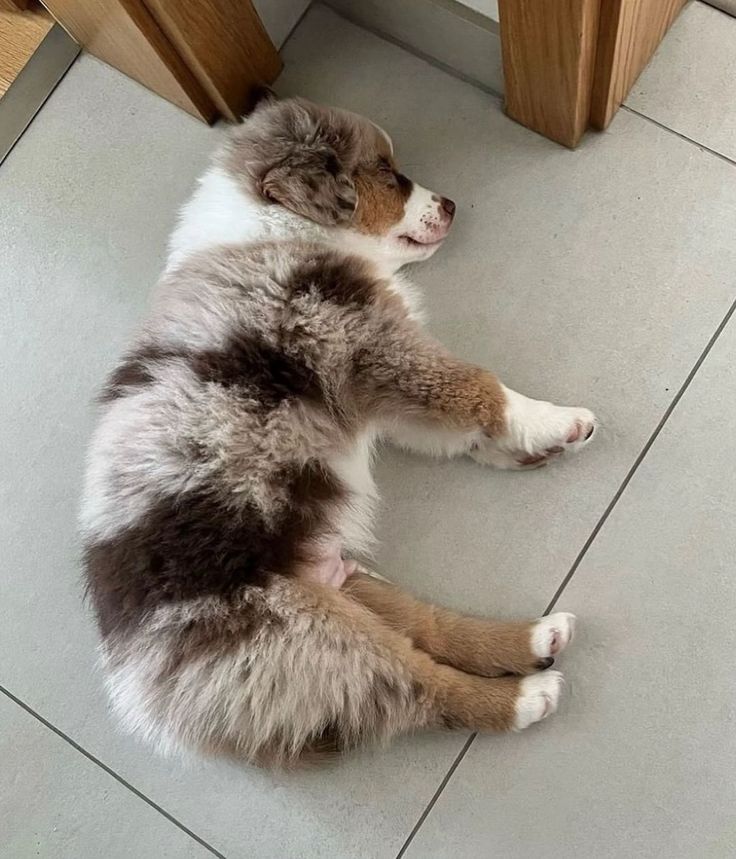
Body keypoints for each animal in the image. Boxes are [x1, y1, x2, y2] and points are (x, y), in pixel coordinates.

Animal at [82, 94, 600, 764]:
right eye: (386, 172)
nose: (451, 204)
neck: (274, 224)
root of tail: (140, 690)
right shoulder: (369, 340)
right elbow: (476, 389)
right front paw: (555, 420)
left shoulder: (376, 386)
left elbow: (450, 431)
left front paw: (528, 450)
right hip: (307, 635)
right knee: (420, 684)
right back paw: (523, 698)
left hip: (346, 583)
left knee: (427, 626)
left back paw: (536, 638)